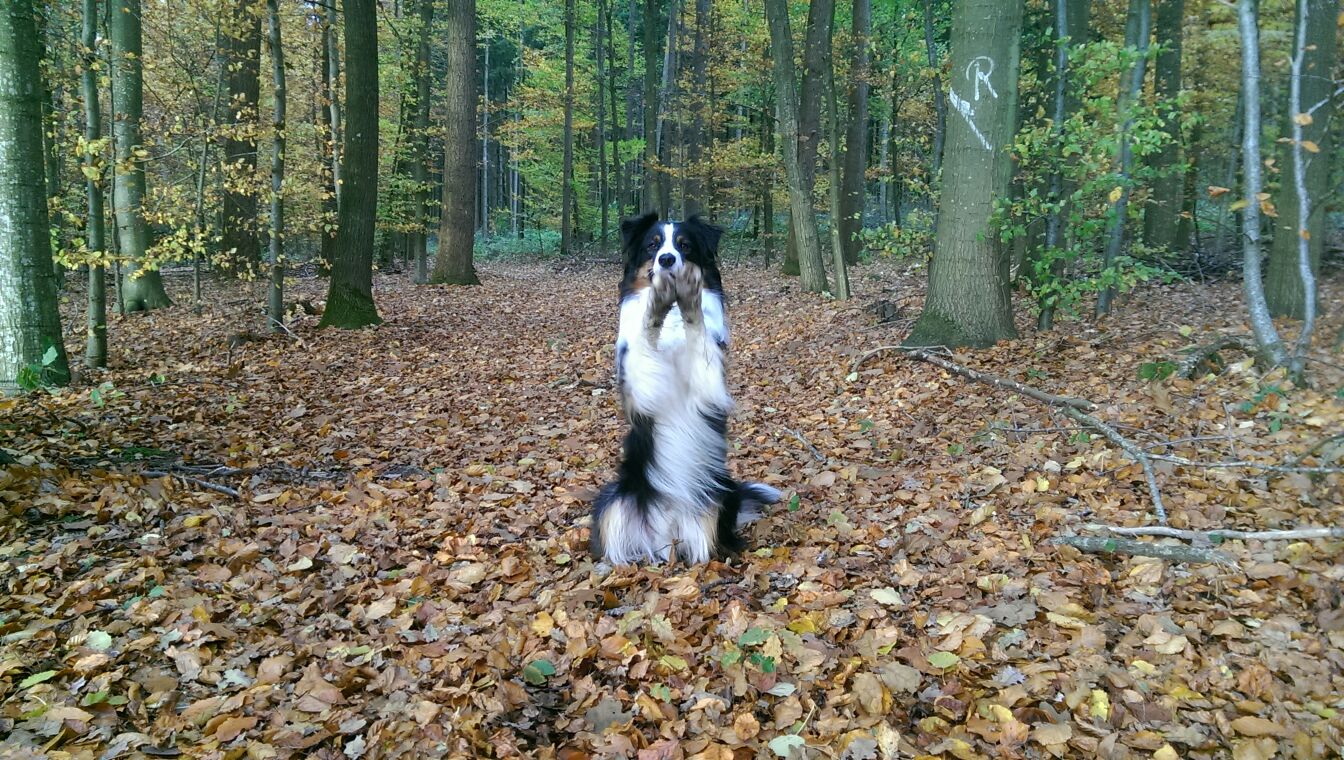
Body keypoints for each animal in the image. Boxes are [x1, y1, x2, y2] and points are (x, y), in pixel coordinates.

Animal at [588, 209, 779, 564]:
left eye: (684, 245)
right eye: (652, 244)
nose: (666, 259)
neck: (673, 319)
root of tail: (668, 532)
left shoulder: (710, 383)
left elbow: (698, 330)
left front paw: (690, 298)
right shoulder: (642, 387)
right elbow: (647, 334)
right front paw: (655, 302)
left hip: (716, 499)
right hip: (616, 500)